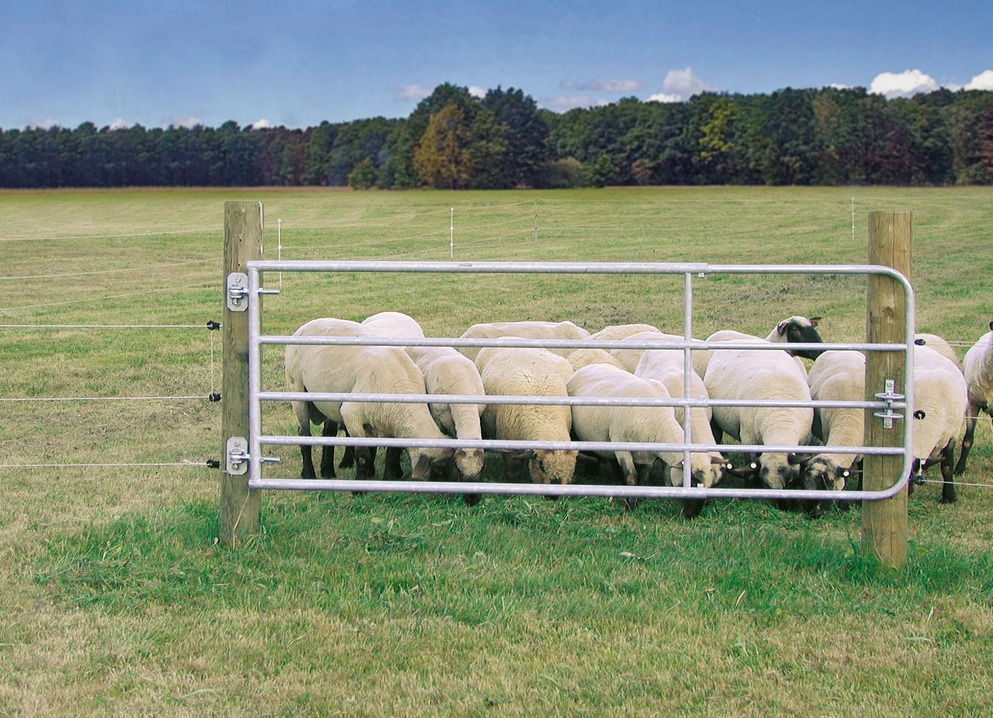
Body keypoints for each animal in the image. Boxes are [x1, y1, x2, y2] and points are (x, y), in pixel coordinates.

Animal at [282, 318, 454, 480]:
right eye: (439, 469)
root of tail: (306, 325)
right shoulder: (351, 414)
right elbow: (363, 456)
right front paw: (360, 486)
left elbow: (391, 454)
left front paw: (387, 478)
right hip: (296, 386)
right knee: (304, 433)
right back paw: (309, 474)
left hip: (330, 399)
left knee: (328, 432)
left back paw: (327, 471)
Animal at [476, 350, 576, 490]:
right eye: (541, 466)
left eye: (570, 469)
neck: (546, 417)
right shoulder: (510, 444)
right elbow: (513, 468)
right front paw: (512, 482)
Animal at [696, 340, 812, 498]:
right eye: (767, 485)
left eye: (789, 481)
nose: (783, 506)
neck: (780, 422)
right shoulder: (748, 438)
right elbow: (750, 468)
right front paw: (750, 488)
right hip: (715, 421)